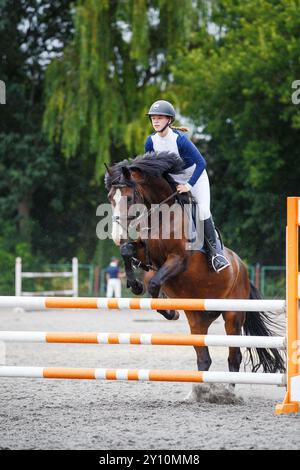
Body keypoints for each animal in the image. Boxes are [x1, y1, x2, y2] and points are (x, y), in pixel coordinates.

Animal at [104, 152, 284, 376]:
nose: (116, 237)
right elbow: (127, 252)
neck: (162, 216)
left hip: (233, 316)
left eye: (129, 198)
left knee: (234, 357)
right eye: (110, 198)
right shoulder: (148, 257)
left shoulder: (178, 260)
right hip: (198, 318)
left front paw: (170, 311)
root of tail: (242, 269)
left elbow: (154, 284)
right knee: (204, 358)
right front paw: (135, 284)